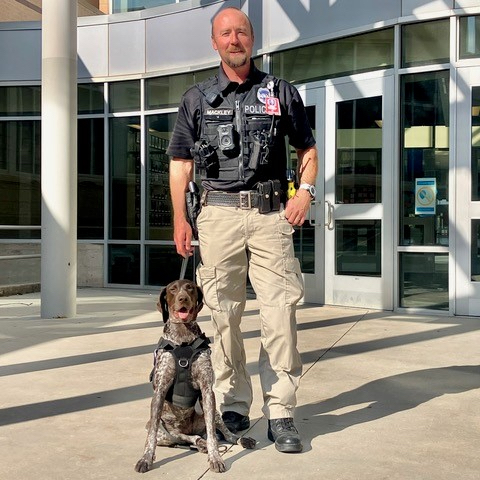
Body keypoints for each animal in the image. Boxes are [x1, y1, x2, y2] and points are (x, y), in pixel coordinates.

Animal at [133, 278, 256, 472]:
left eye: (190, 288)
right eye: (173, 289)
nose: (183, 298)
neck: (183, 338)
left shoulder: (207, 391)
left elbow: (213, 435)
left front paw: (215, 458)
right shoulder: (160, 390)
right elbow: (151, 436)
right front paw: (146, 459)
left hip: (214, 414)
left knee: (224, 435)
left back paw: (239, 440)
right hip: (166, 434)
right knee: (183, 438)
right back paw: (200, 443)